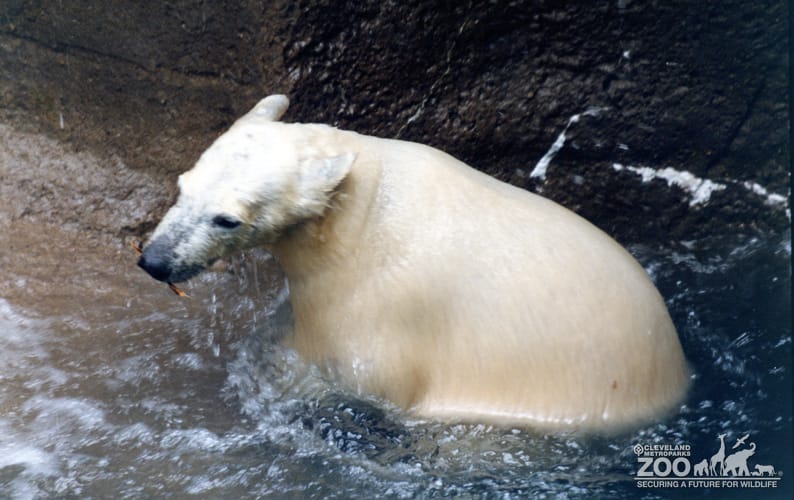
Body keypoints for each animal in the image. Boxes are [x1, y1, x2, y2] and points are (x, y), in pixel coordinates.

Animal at [138, 94, 689, 431]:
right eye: (183, 186)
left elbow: (355, 377)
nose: (154, 260)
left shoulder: (372, 310)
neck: (358, 217)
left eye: (227, 219)